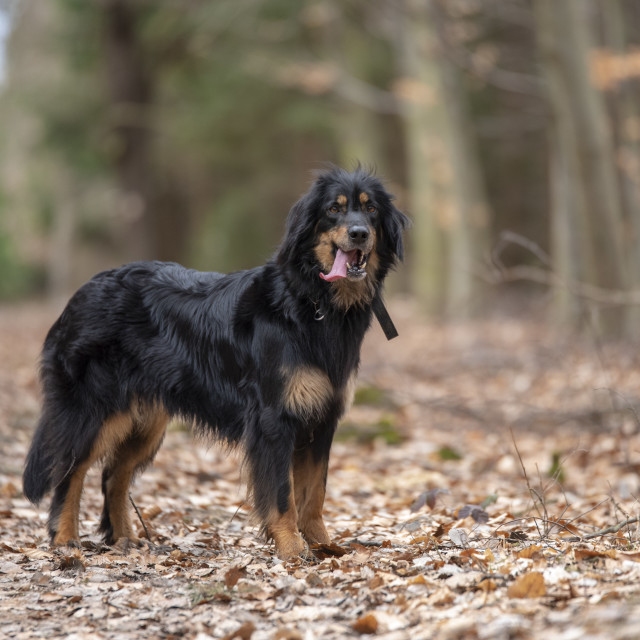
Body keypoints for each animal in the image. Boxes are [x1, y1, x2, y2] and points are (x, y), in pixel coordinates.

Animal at [23, 166, 410, 560]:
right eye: (334, 209)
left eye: (371, 209)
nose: (359, 233)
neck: (310, 300)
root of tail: (80, 294)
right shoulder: (274, 419)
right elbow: (282, 494)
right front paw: (291, 547)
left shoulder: (322, 418)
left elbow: (315, 492)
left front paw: (322, 544)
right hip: (94, 409)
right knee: (69, 471)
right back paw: (65, 539)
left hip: (145, 420)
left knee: (113, 475)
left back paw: (125, 539)